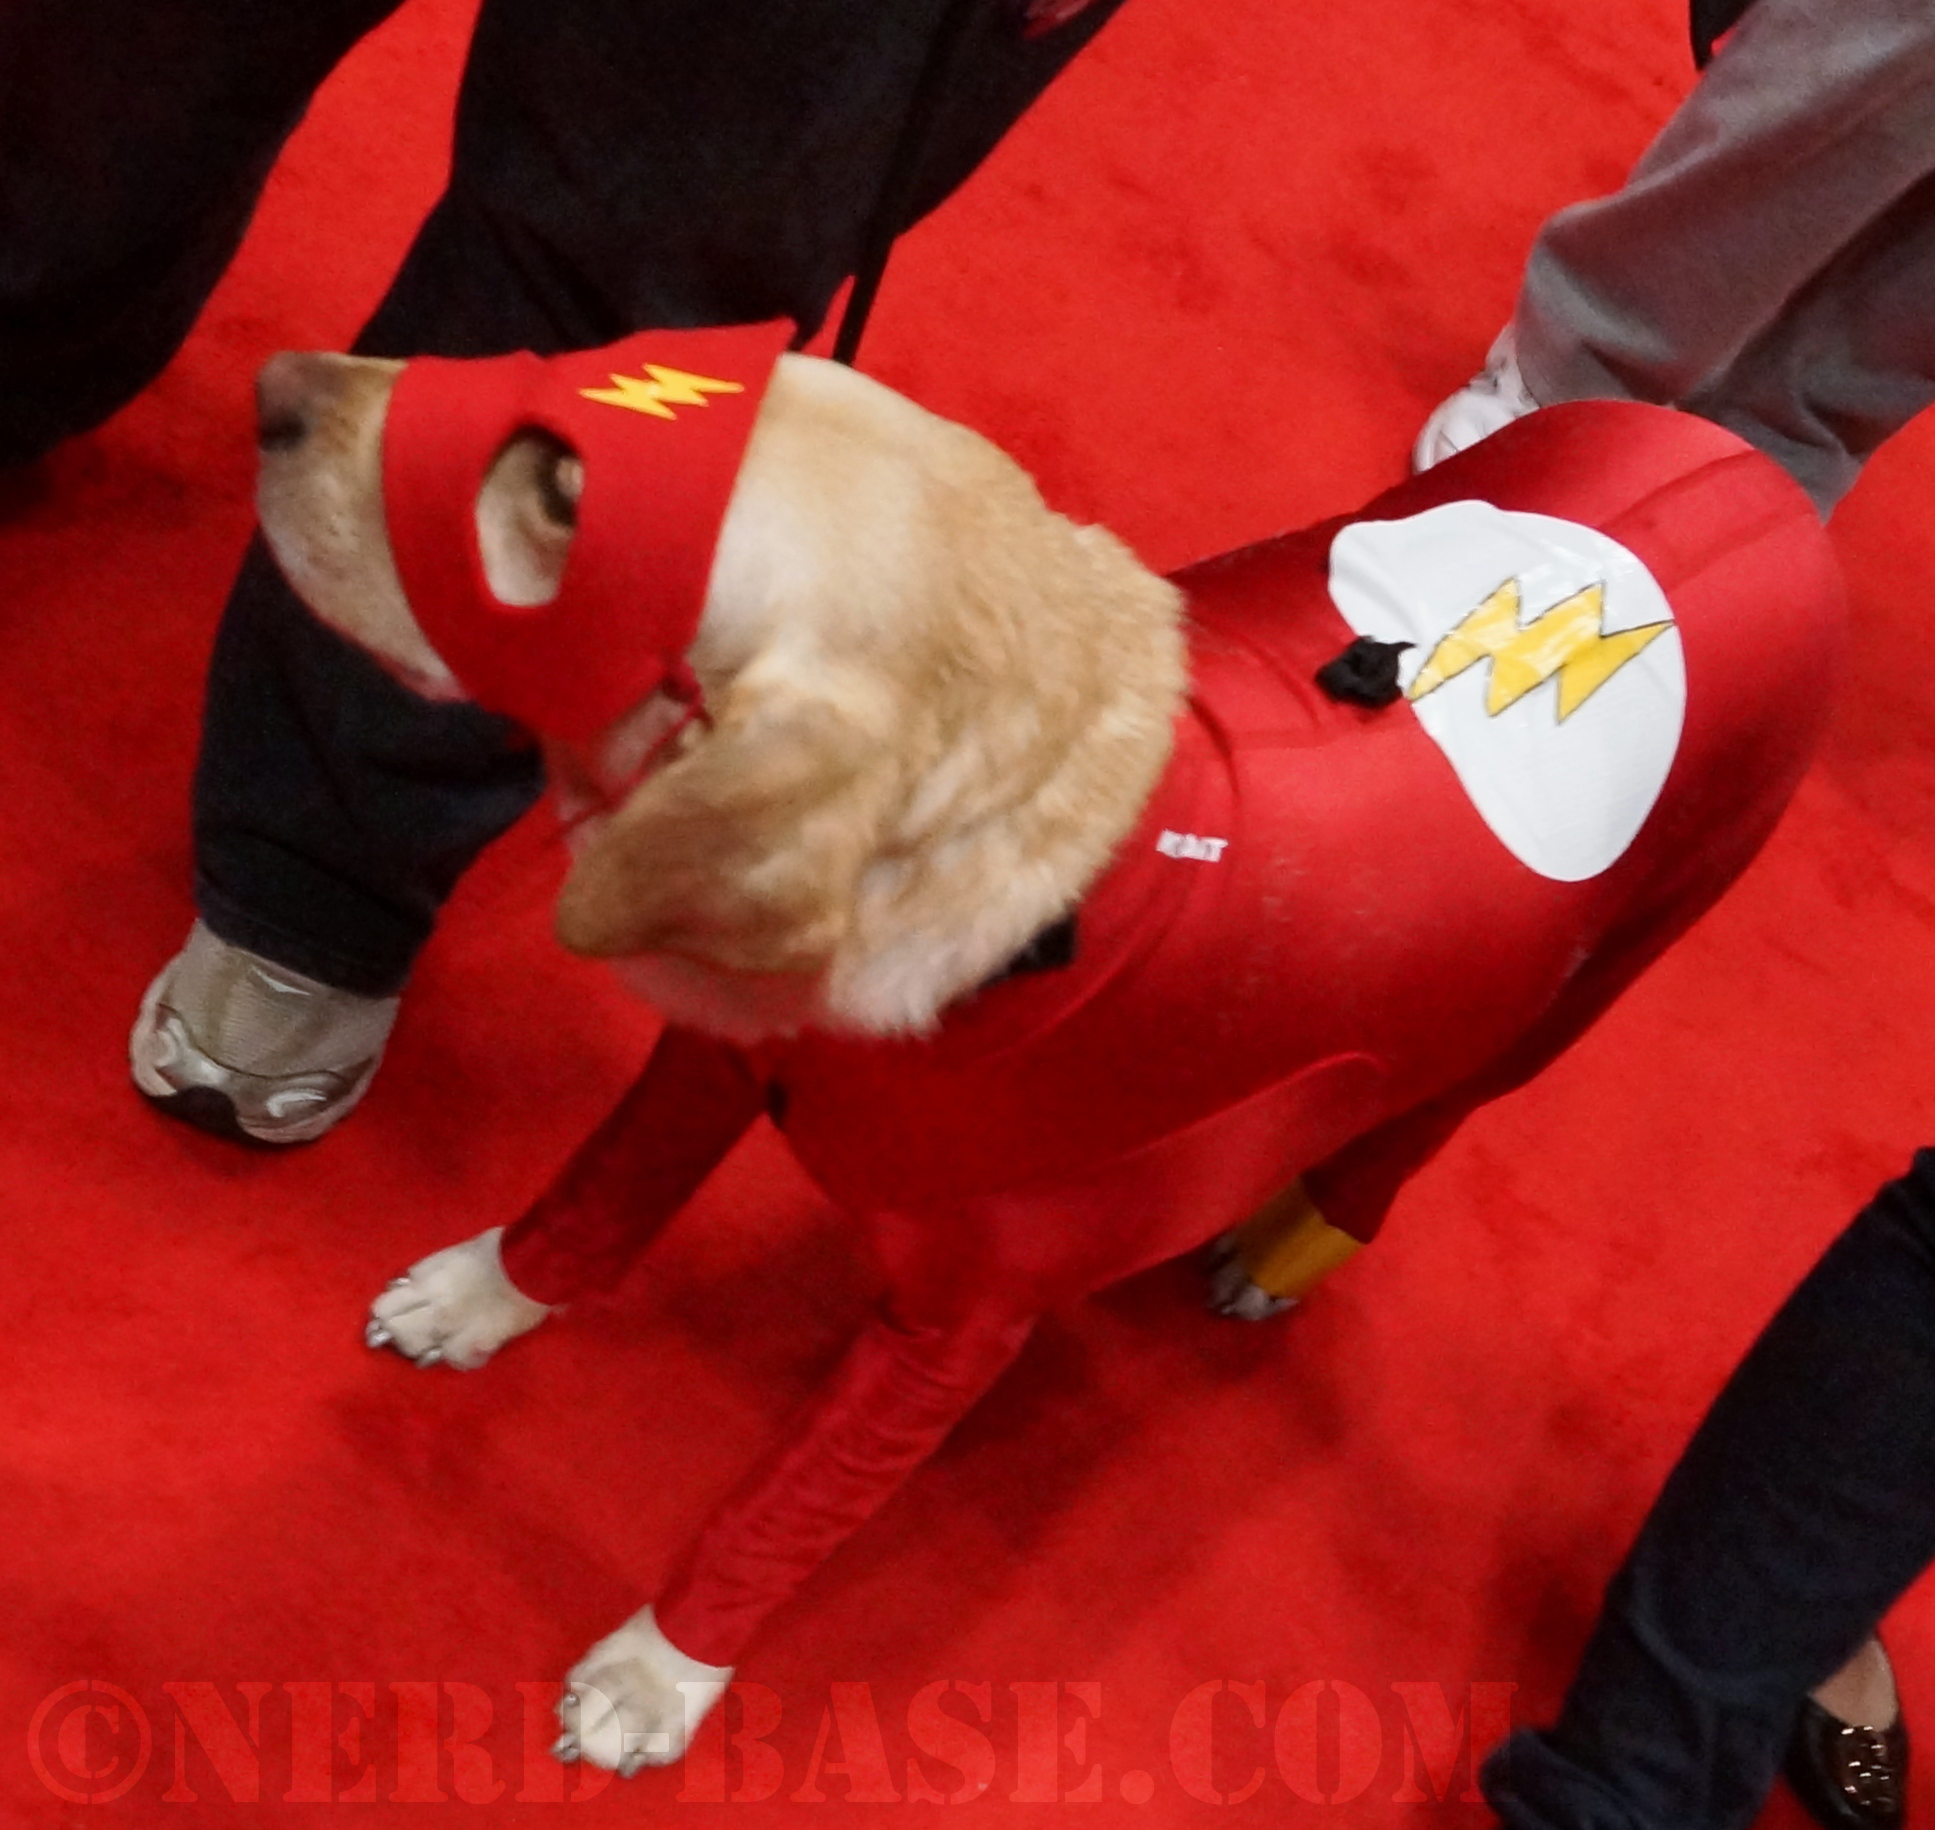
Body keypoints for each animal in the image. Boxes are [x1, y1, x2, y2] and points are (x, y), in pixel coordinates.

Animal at [253, 327, 1843, 1775]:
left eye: (565, 494)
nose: (273, 390)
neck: (1029, 914)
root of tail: (1757, 479)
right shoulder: (710, 1057)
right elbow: (596, 1197)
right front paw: (490, 1294)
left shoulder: (956, 1331)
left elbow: (782, 1507)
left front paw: (664, 1670)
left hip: (1581, 985)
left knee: (1409, 1133)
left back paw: (1292, 1238)